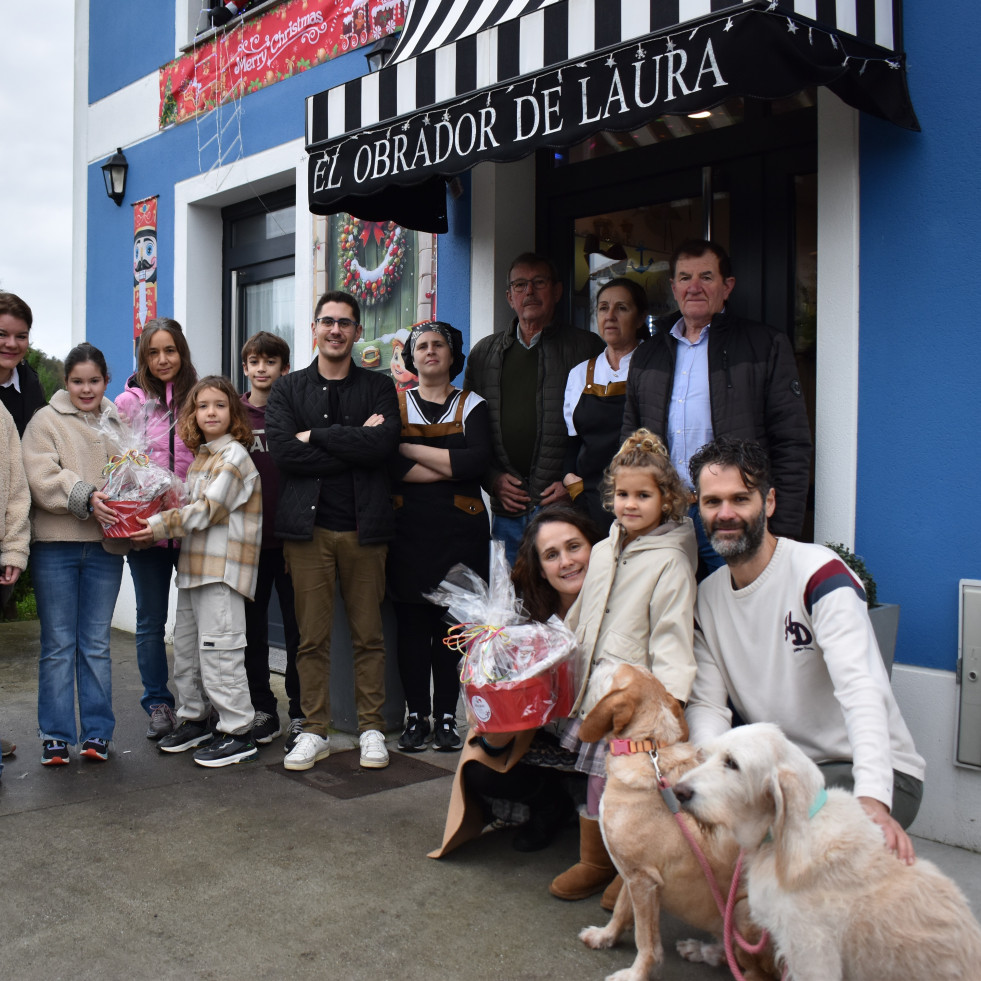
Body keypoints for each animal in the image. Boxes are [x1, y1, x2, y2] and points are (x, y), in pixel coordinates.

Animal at [576, 668, 772, 980]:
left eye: (613, 670)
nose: (593, 664)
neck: (646, 747)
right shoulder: (633, 873)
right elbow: (620, 909)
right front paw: (605, 937)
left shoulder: (643, 880)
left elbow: (645, 940)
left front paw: (636, 973)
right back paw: (702, 950)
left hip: (743, 911)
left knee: (756, 971)